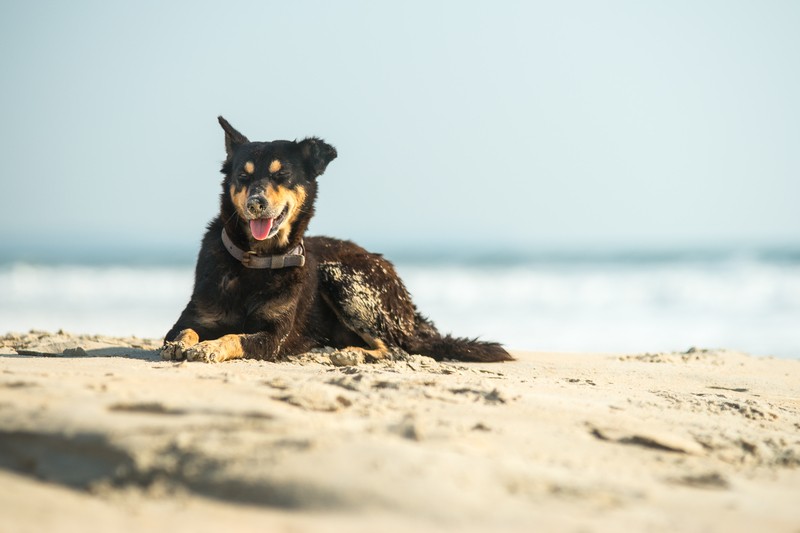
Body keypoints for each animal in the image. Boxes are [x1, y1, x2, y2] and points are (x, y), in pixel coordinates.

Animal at [162, 117, 512, 364]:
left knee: (395, 349)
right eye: (243, 177)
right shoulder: (193, 316)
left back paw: (352, 354)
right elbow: (183, 331)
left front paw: (210, 347)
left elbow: (235, 337)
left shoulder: (273, 336)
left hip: (342, 280)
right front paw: (182, 344)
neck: (256, 259)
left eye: (281, 175)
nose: (255, 204)